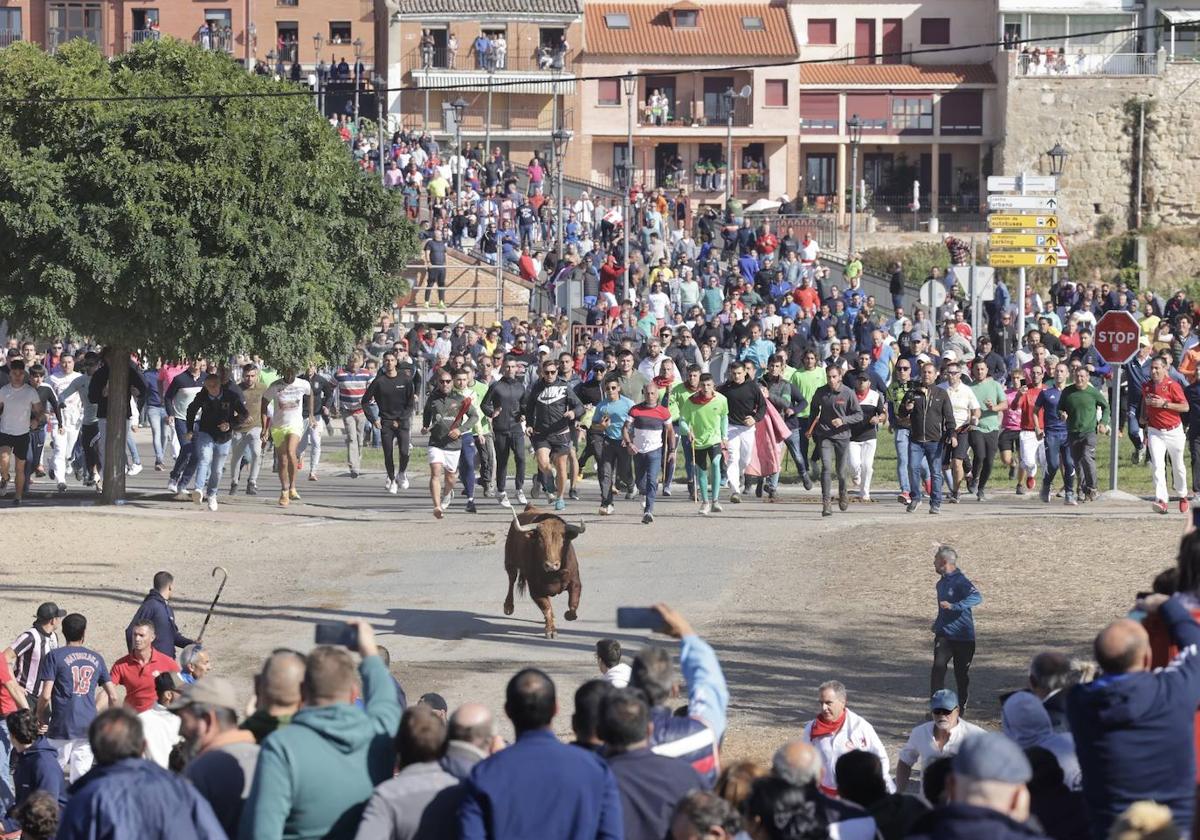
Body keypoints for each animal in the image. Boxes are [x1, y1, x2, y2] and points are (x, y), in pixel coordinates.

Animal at [504, 506, 583, 638]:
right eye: (540, 539)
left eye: (562, 539)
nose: (551, 565)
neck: (554, 575)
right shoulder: (535, 589)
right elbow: (547, 608)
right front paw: (551, 631)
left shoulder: (575, 582)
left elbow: (573, 605)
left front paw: (567, 615)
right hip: (510, 562)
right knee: (511, 580)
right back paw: (508, 606)